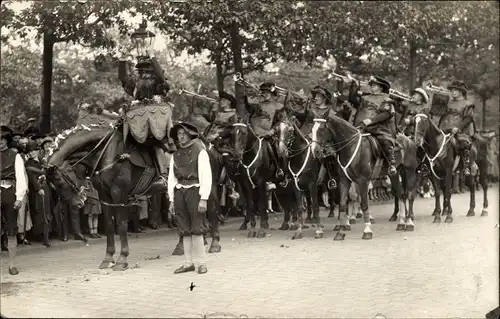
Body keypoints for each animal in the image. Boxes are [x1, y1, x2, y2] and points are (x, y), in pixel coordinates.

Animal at [47, 125, 223, 272]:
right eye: (54, 187)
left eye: (60, 181)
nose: (78, 203)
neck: (106, 153)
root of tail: (206, 143)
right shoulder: (105, 195)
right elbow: (110, 226)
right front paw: (108, 258)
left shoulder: (119, 193)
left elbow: (121, 225)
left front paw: (122, 259)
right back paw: (186, 245)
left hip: (210, 186)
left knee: (212, 210)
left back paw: (214, 243)